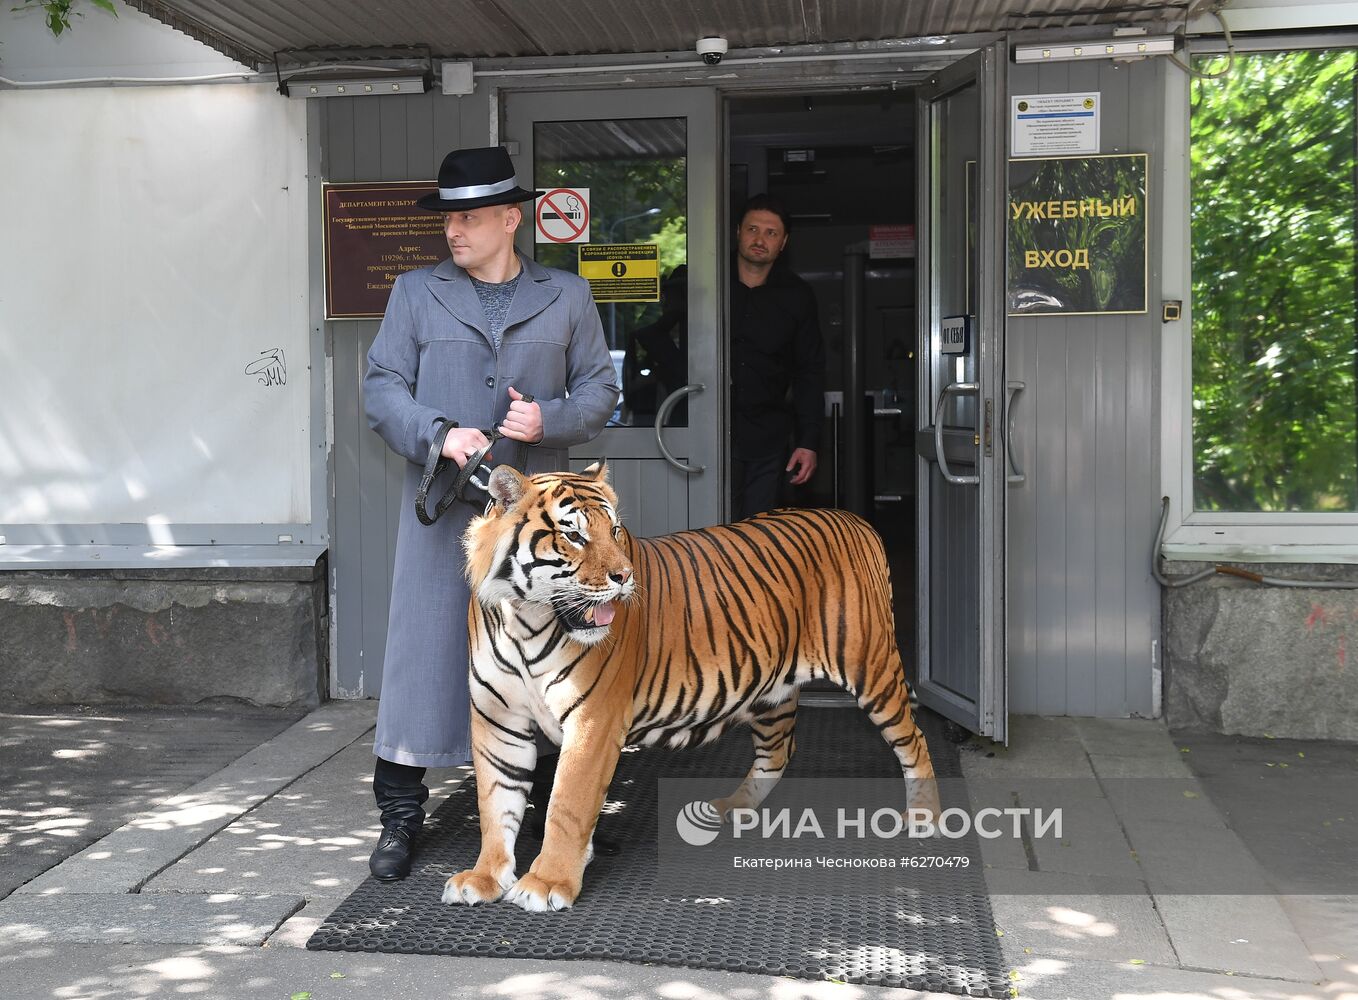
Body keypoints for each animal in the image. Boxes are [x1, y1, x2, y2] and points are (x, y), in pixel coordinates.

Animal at [439, 464, 939, 907]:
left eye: (615, 531)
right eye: (574, 535)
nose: (624, 577)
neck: (524, 620)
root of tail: (854, 519)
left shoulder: (593, 721)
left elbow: (566, 805)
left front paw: (546, 884)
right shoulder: (497, 720)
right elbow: (495, 802)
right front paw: (485, 877)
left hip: (871, 666)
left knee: (914, 739)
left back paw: (924, 818)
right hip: (772, 691)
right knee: (779, 751)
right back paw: (733, 808)